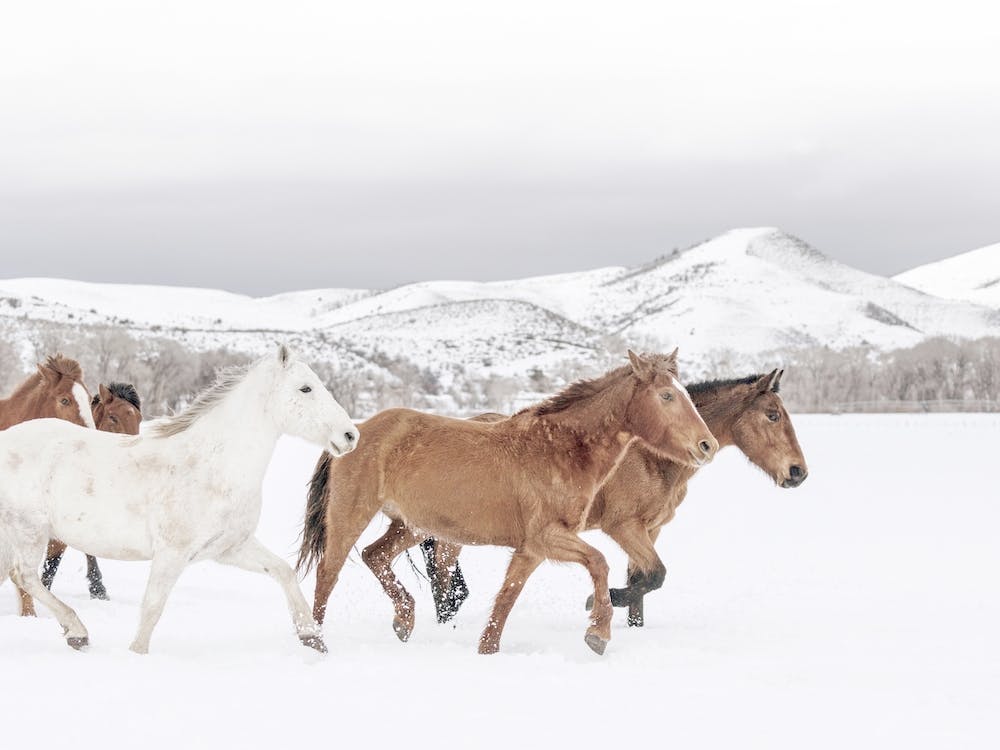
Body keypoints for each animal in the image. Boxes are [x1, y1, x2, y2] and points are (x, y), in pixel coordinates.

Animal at [0, 345, 359, 653]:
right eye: (305, 389)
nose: (350, 435)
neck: (213, 464)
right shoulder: (171, 554)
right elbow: (152, 608)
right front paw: (136, 654)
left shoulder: (230, 548)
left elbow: (283, 572)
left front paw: (312, 637)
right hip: (30, 530)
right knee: (25, 576)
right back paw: (77, 632)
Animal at [297, 349, 719, 655]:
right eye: (666, 395)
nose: (707, 445)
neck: (558, 449)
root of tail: (354, 432)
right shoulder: (548, 537)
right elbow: (599, 562)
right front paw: (598, 633)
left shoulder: (532, 549)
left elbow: (506, 599)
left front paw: (488, 650)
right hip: (351, 515)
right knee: (328, 574)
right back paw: (314, 641)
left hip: (412, 525)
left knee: (375, 556)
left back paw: (404, 620)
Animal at [422, 369, 808, 627]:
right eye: (773, 415)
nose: (798, 472)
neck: (651, 454)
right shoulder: (623, 527)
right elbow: (655, 575)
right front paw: (598, 601)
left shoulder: (650, 530)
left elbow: (642, 581)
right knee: (442, 580)